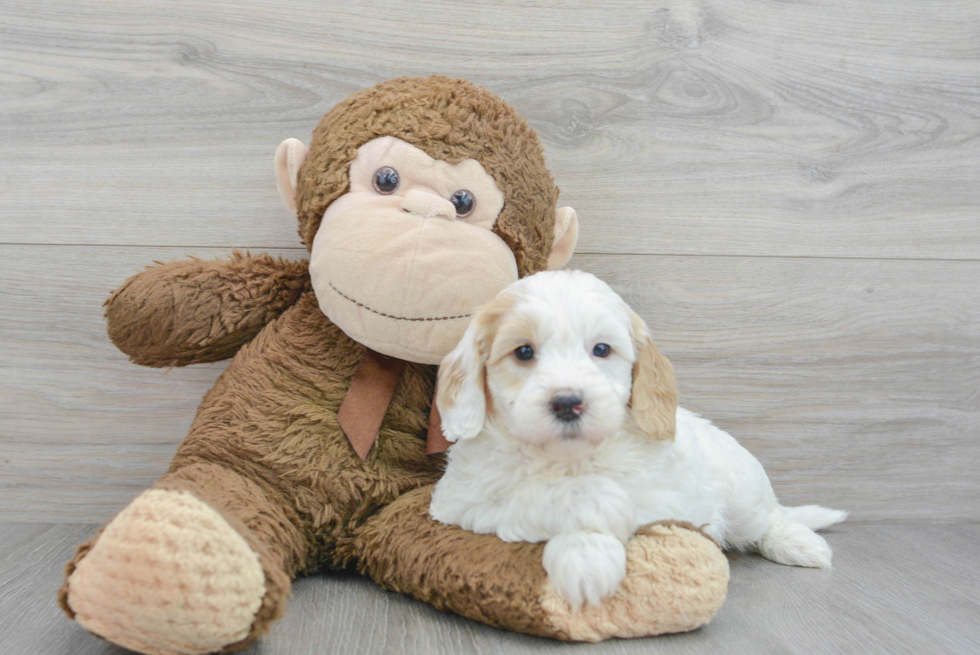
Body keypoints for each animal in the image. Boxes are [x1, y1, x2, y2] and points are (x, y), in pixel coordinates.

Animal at [432, 270, 848, 608]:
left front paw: (588, 550)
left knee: (770, 519)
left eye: (601, 349)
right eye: (523, 352)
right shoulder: (459, 502)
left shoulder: (664, 499)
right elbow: (533, 496)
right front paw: (592, 529)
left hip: (744, 495)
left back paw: (799, 542)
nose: (567, 402)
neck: (567, 458)